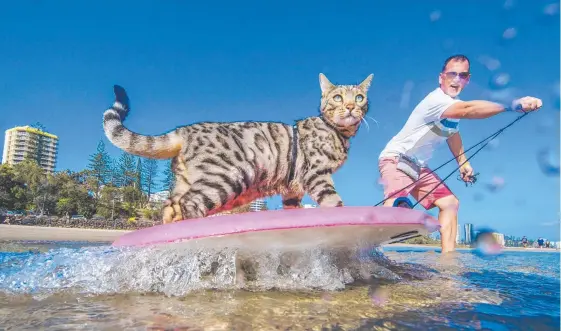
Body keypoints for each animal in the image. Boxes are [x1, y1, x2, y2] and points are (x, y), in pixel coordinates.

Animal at [103, 72, 374, 223]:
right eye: (337, 97)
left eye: (360, 98)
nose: (351, 107)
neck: (340, 134)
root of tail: (185, 130)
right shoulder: (316, 175)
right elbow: (334, 203)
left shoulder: (292, 187)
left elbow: (292, 208)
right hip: (226, 177)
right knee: (191, 203)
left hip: (186, 182)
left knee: (170, 207)